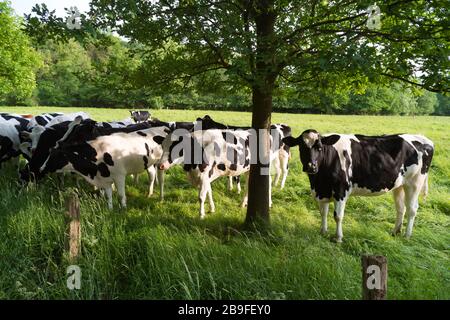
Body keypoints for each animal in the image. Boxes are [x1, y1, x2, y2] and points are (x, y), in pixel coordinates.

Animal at [37, 119, 169, 209]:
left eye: (55, 156)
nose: (41, 168)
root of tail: (164, 127)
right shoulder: (104, 178)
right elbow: (108, 195)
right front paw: (109, 209)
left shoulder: (119, 176)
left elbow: (121, 195)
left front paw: (123, 209)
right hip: (149, 163)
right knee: (151, 175)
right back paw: (149, 193)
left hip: (161, 163)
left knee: (161, 180)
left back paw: (161, 197)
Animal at [284, 129, 434, 241]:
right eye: (301, 147)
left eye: (319, 147)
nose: (311, 166)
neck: (319, 180)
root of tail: (424, 139)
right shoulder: (323, 191)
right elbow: (323, 212)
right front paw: (323, 231)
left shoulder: (341, 190)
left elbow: (338, 216)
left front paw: (338, 238)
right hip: (399, 185)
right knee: (400, 208)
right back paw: (395, 231)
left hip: (414, 183)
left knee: (412, 209)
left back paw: (407, 235)